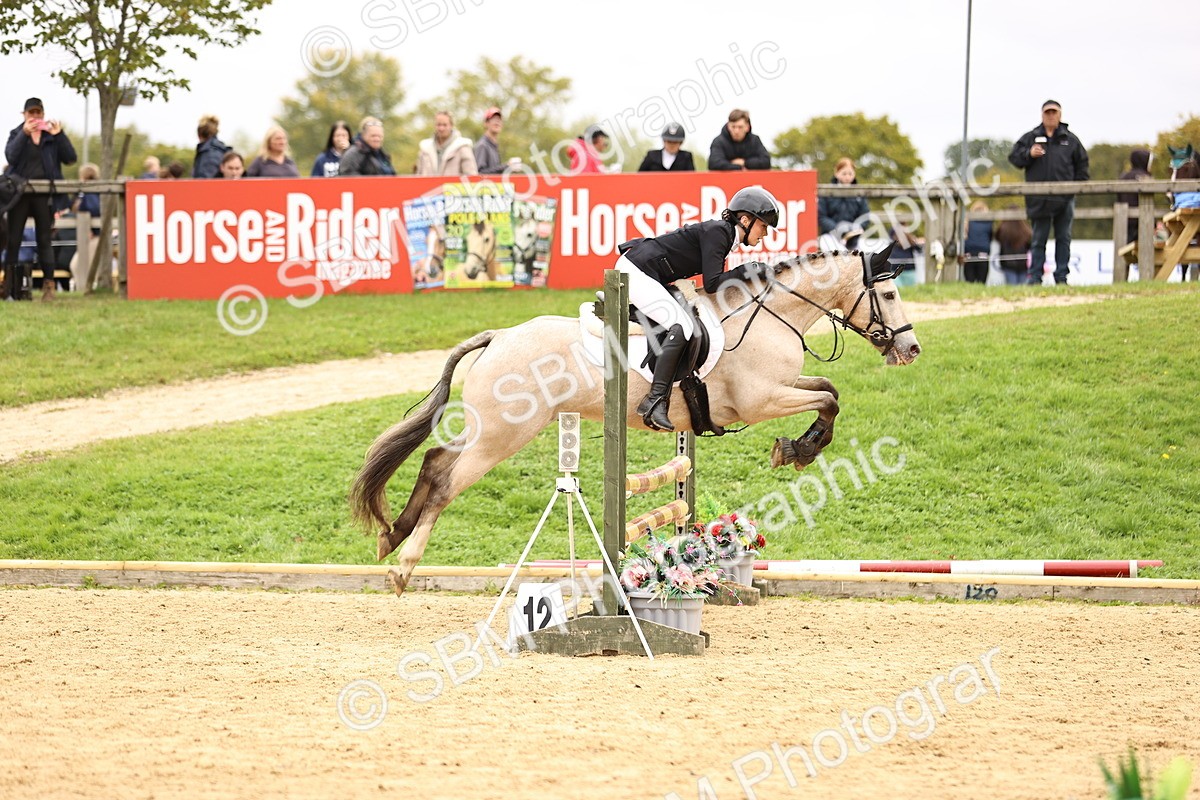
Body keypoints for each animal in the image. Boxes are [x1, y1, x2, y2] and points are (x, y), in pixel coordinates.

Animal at [351, 247, 921, 595]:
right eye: (891, 294)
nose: (912, 350)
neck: (767, 316)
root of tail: (499, 336)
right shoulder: (761, 400)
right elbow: (827, 400)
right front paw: (798, 449)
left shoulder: (781, 389)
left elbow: (829, 391)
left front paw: (800, 447)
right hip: (504, 436)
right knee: (448, 482)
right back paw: (403, 567)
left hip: (488, 429)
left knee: (433, 460)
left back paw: (391, 536)